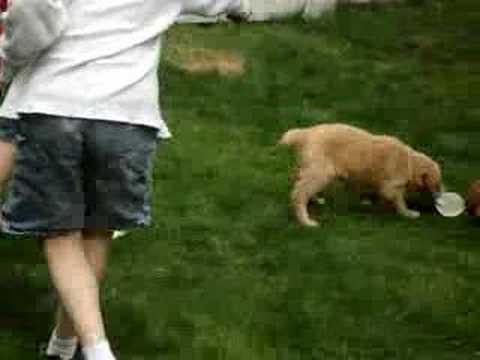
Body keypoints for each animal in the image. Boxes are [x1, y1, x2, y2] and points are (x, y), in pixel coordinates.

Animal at [282, 123, 442, 225]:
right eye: (437, 184)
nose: (440, 196)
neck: (410, 162)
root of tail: (304, 133)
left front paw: (368, 201)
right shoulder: (391, 185)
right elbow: (399, 199)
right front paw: (408, 213)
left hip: (309, 168)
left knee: (300, 183)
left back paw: (315, 199)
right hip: (320, 172)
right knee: (299, 193)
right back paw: (306, 221)